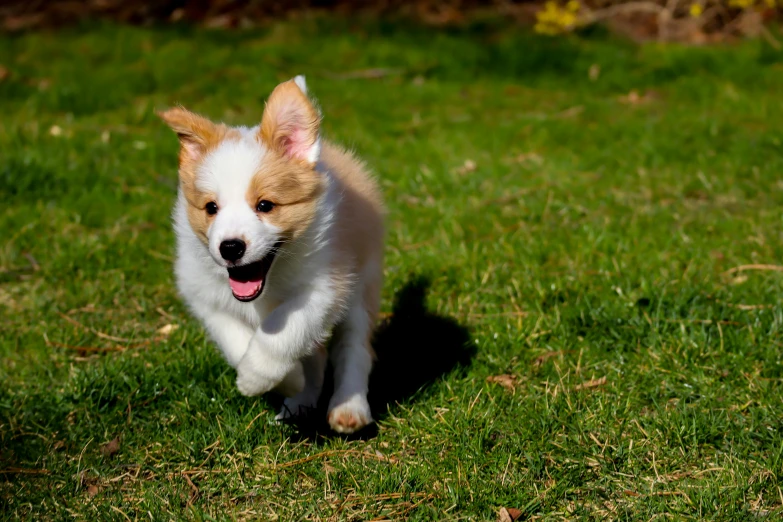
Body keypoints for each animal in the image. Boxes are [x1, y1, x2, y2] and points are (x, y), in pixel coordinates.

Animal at [158, 74, 384, 430]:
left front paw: (255, 377)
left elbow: (283, 331)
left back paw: (349, 408)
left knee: (354, 348)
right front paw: (287, 381)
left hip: (363, 283)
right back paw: (301, 401)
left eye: (265, 205)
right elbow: (236, 340)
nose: (230, 247)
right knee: (319, 355)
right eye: (211, 208)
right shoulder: (204, 295)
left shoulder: (326, 286)